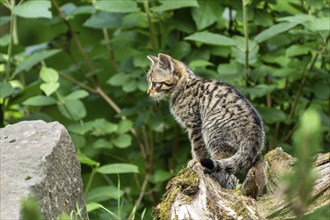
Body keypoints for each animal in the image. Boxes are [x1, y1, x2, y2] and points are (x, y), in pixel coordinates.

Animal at [146, 53, 264, 184]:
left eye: (154, 83)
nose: (148, 92)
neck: (184, 86)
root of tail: (254, 131)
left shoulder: (194, 123)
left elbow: (197, 146)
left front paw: (196, 160)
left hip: (210, 128)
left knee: (223, 154)